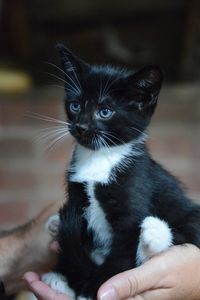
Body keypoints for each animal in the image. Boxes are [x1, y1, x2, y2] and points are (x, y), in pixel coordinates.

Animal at [42, 45, 200, 300]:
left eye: (105, 111)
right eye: (75, 105)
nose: (81, 126)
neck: (100, 159)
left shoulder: (133, 194)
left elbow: (122, 253)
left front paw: (97, 288)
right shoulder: (77, 198)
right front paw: (63, 276)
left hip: (187, 213)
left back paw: (154, 235)